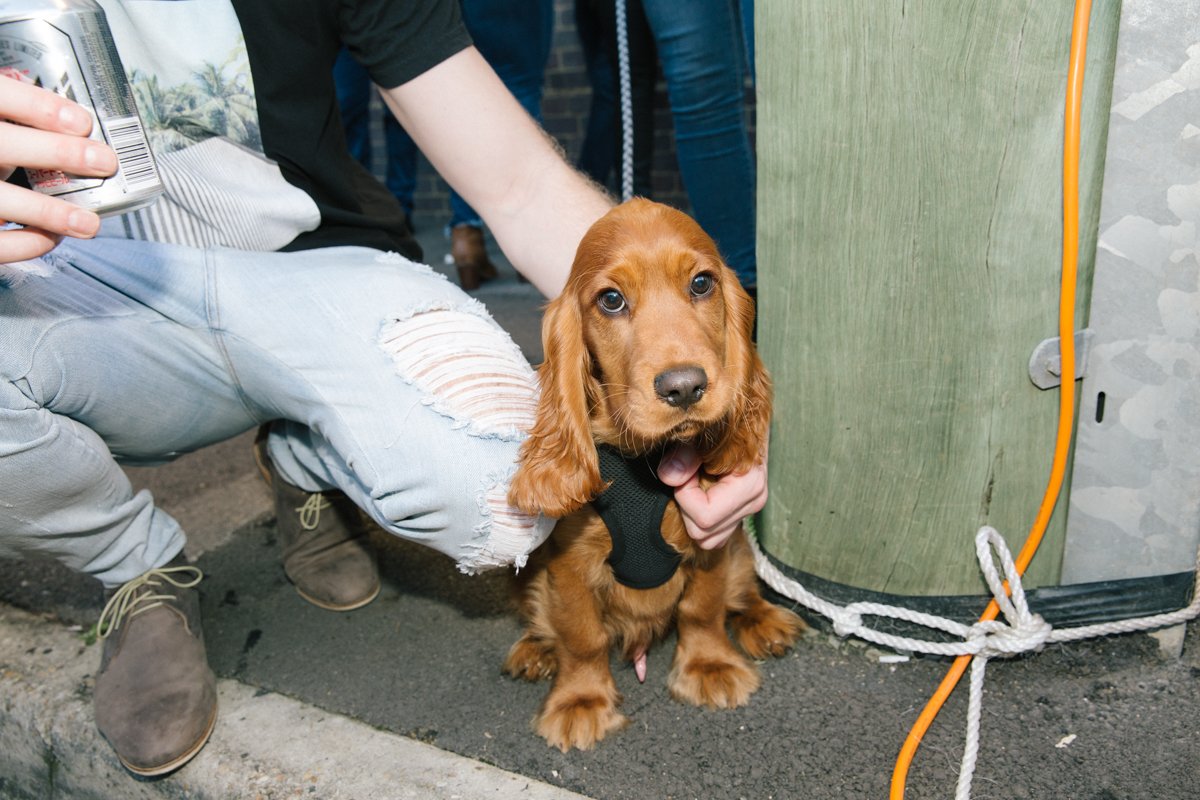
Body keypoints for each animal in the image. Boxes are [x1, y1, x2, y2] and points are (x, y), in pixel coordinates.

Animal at [501, 199, 801, 753]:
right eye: (611, 300)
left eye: (702, 284)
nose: (684, 387)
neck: (643, 463)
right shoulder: (568, 566)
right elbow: (582, 636)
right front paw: (581, 699)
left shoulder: (713, 538)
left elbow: (702, 607)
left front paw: (709, 665)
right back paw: (536, 648)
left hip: (739, 549)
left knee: (742, 590)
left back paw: (764, 619)